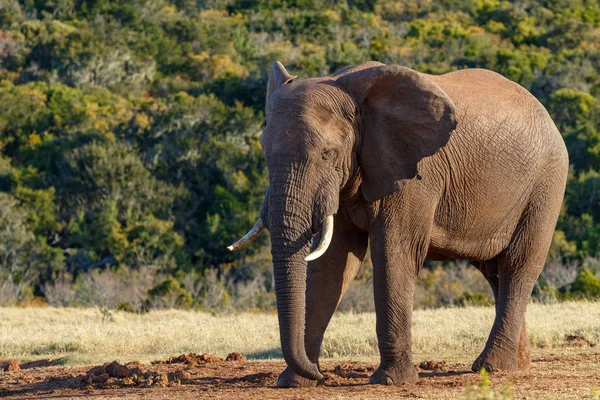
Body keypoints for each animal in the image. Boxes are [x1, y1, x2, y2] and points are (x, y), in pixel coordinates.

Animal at [227, 60, 568, 388]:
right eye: (265, 154)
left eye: (327, 154)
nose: (323, 376)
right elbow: (331, 264)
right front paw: (294, 382)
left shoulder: (414, 175)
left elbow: (393, 253)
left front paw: (391, 380)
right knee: (494, 272)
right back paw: (516, 366)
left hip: (545, 185)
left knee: (517, 265)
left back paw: (491, 367)